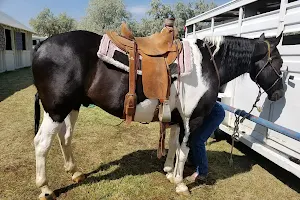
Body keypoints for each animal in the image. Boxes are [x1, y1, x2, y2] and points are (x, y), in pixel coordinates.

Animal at [32, 29, 284, 198]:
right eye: (279, 62)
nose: (279, 93)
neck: (206, 64)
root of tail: (41, 46)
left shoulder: (176, 119)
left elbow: (173, 145)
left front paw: (169, 172)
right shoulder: (192, 120)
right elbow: (184, 150)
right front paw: (180, 183)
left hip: (71, 108)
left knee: (65, 138)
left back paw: (74, 172)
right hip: (56, 110)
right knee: (42, 143)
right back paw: (45, 188)